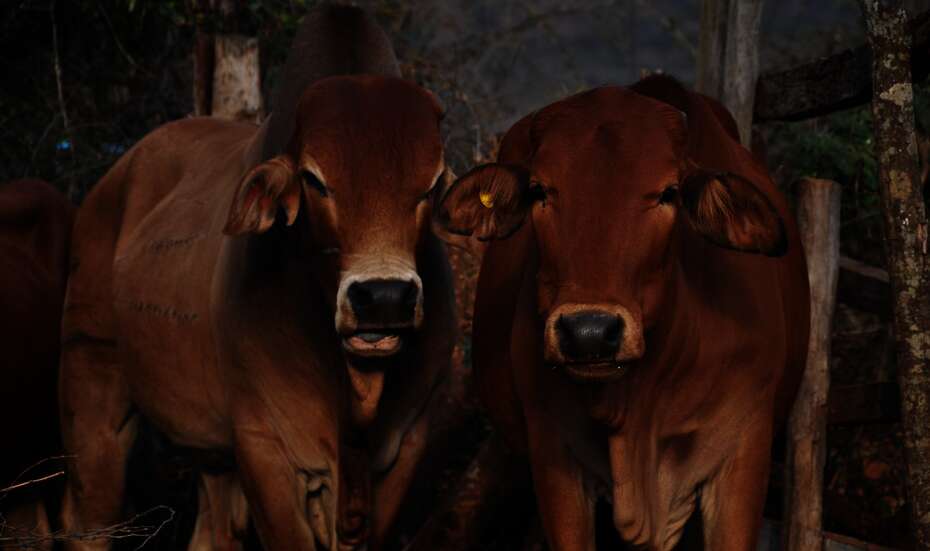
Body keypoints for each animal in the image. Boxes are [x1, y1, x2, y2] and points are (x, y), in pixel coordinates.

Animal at [58, 4, 453, 550]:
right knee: (89, 517)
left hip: (208, 454)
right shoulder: (263, 445)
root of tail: (110, 182)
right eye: (314, 180)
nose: (384, 297)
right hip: (91, 377)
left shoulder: (408, 443)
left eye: (432, 184)